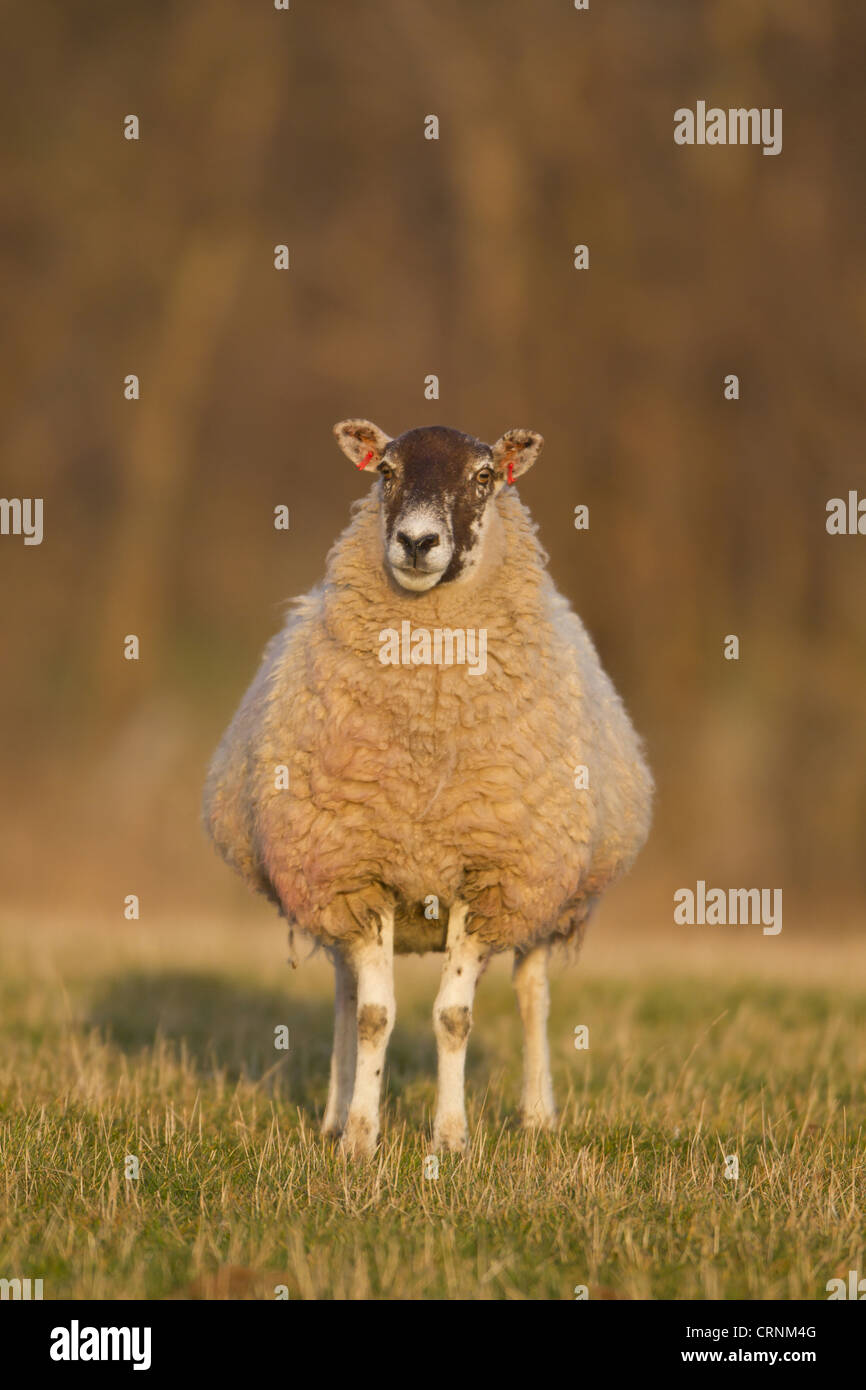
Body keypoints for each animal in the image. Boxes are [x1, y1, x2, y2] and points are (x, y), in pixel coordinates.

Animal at [201, 422, 650, 1162]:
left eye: (484, 476)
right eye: (384, 470)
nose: (416, 542)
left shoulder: (487, 876)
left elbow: (454, 1017)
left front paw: (451, 1138)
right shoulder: (357, 874)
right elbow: (374, 1017)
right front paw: (359, 1138)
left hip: (542, 892)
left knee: (532, 990)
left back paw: (537, 1116)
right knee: (345, 994)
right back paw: (332, 1114)